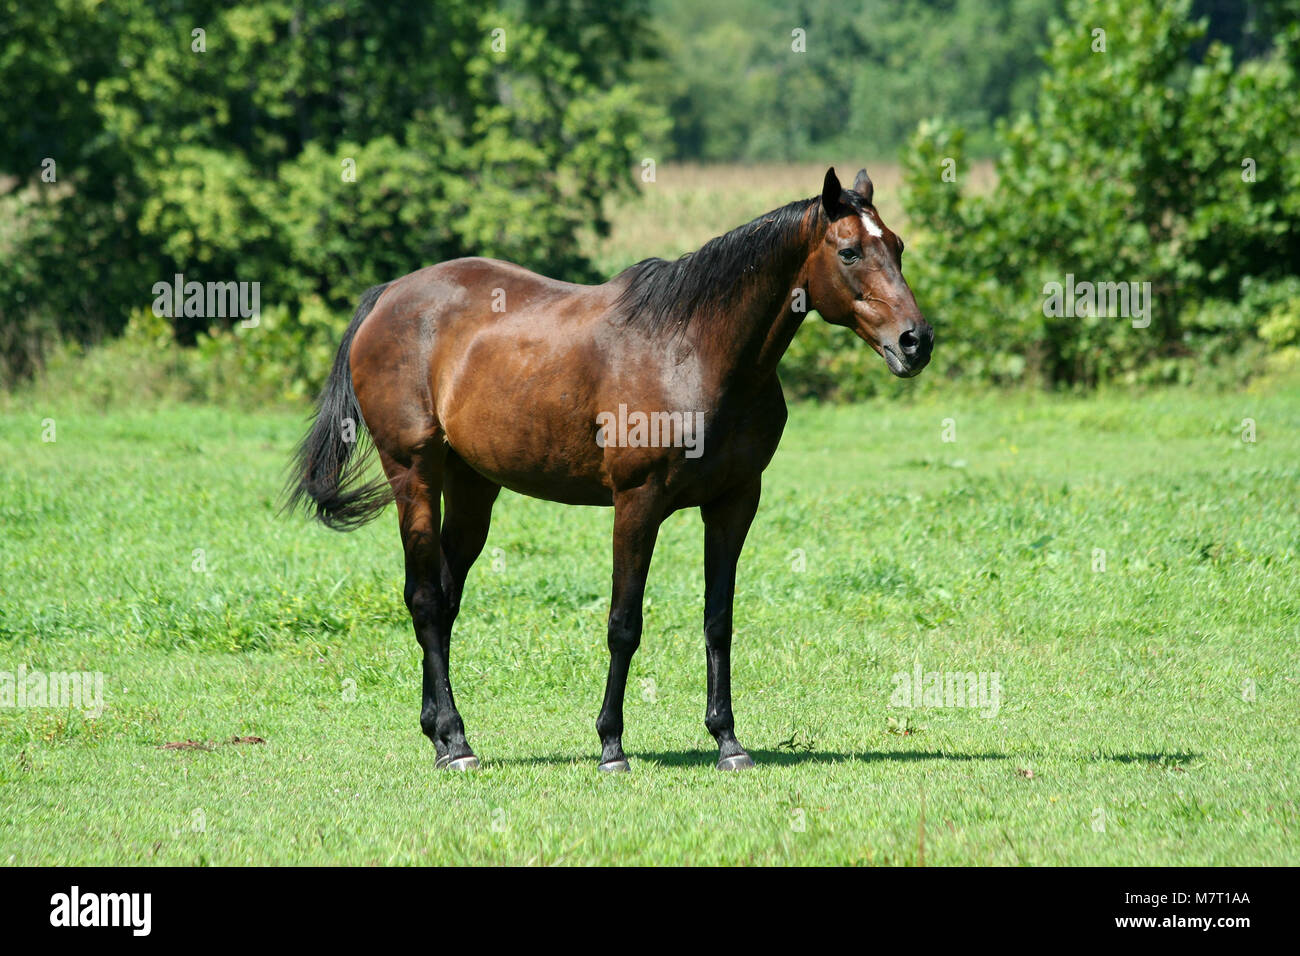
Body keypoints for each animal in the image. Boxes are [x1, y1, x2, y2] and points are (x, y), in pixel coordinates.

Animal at [284, 167, 933, 772]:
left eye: (898, 245)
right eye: (849, 252)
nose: (916, 341)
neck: (694, 352)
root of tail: (389, 296)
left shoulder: (734, 502)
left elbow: (717, 619)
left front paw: (727, 740)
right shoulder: (637, 502)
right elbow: (625, 623)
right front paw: (611, 744)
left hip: (473, 488)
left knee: (443, 600)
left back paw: (441, 734)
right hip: (414, 475)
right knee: (423, 599)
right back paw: (456, 743)